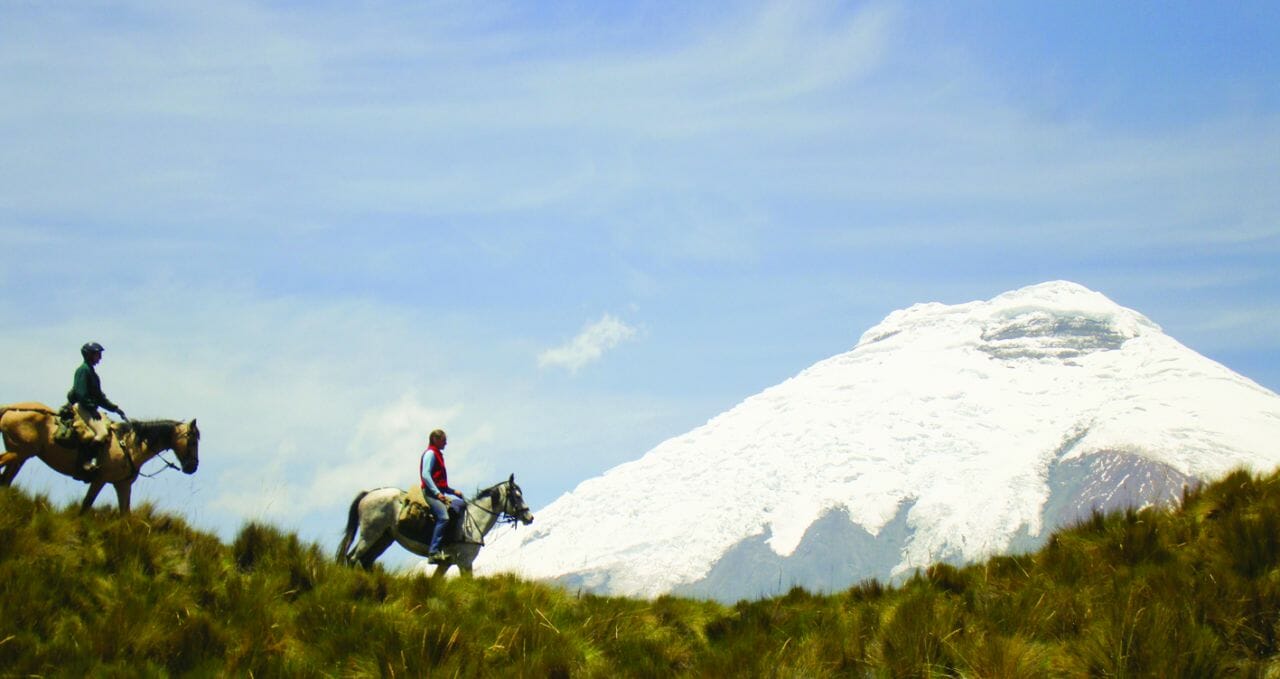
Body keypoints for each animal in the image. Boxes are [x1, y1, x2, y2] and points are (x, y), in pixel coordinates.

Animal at [0, 399, 199, 509]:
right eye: (193, 440)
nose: (193, 467)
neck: (129, 446)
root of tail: (12, 407)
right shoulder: (100, 480)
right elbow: (85, 506)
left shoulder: (122, 485)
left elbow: (125, 515)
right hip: (20, 452)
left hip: (20, 456)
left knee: (5, 481)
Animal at [337, 471, 532, 576]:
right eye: (516, 495)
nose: (529, 517)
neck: (473, 520)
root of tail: (368, 494)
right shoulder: (465, 562)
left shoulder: (446, 563)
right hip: (370, 534)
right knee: (352, 558)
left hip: (384, 538)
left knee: (366, 560)